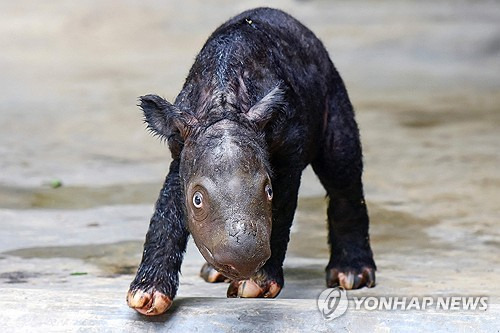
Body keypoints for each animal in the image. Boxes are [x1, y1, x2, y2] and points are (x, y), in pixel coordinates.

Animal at [127, 7, 376, 314]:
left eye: (268, 190)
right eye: (197, 200)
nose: (243, 262)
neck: (224, 105)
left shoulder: (288, 150)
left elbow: (281, 210)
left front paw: (255, 286)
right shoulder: (182, 147)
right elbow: (167, 210)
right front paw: (146, 296)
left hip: (333, 87)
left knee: (341, 169)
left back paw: (351, 276)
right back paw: (214, 274)